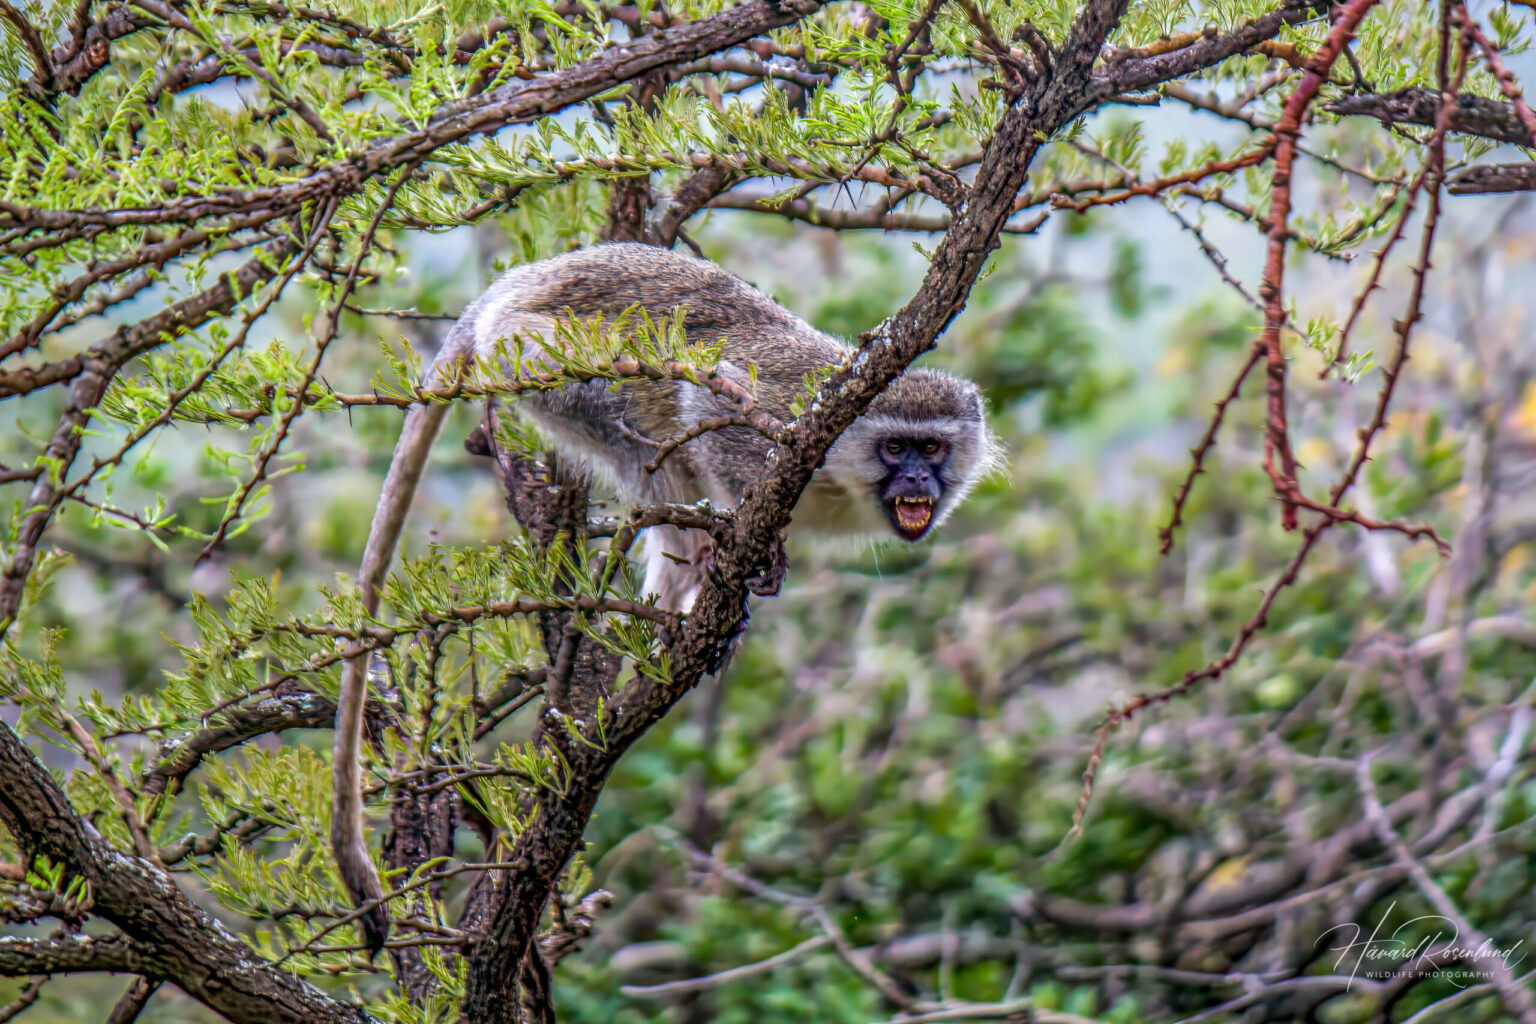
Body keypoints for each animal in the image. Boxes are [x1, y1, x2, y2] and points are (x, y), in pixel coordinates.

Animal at [332, 242, 999, 950]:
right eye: (897, 447)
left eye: (933, 447)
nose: (917, 479)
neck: (848, 475)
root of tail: (509, 289)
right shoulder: (784, 417)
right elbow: (710, 405)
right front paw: (757, 546)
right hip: (540, 353)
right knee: (650, 414)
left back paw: (674, 617)